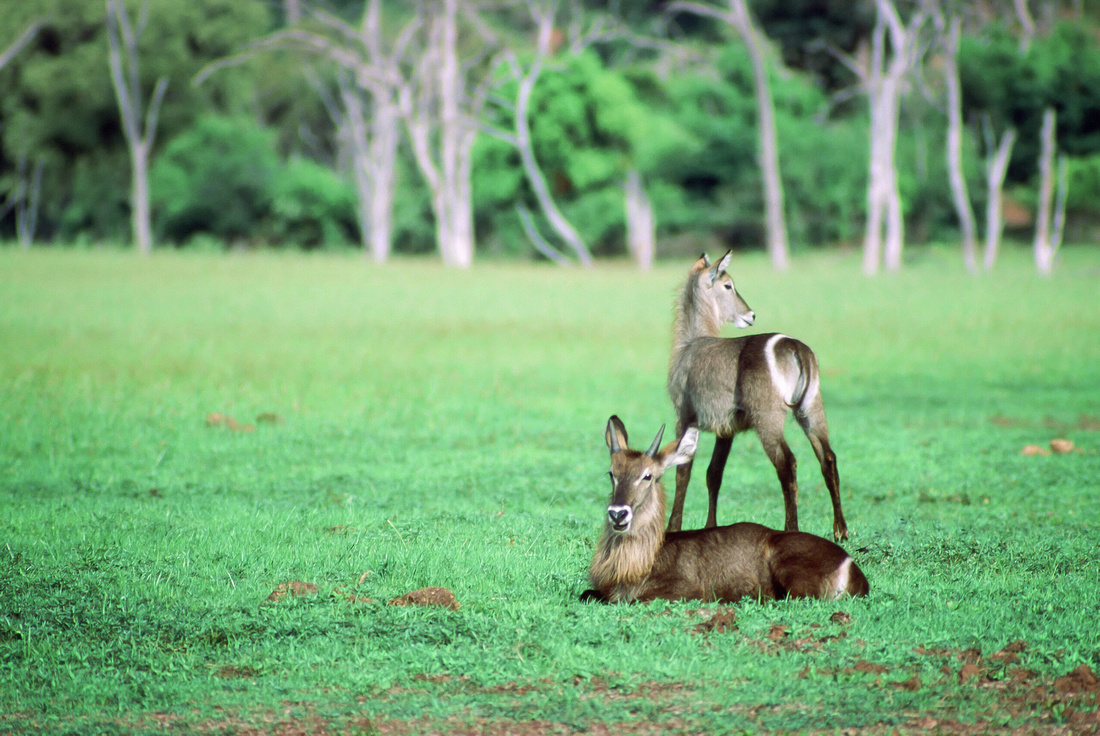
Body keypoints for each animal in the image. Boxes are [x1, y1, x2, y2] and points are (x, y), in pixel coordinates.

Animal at [585, 415, 866, 607]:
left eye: (647, 476)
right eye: (611, 473)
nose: (618, 513)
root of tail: (853, 568)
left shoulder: (685, 590)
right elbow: (586, 594)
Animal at [660, 250, 849, 539]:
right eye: (728, 285)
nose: (751, 315)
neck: (690, 344)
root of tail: (794, 347)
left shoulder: (684, 417)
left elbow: (684, 471)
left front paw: (673, 528)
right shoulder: (726, 429)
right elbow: (714, 474)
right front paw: (711, 527)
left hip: (767, 418)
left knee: (787, 463)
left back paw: (791, 529)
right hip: (811, 408)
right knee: (828, 458)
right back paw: (841, 530)